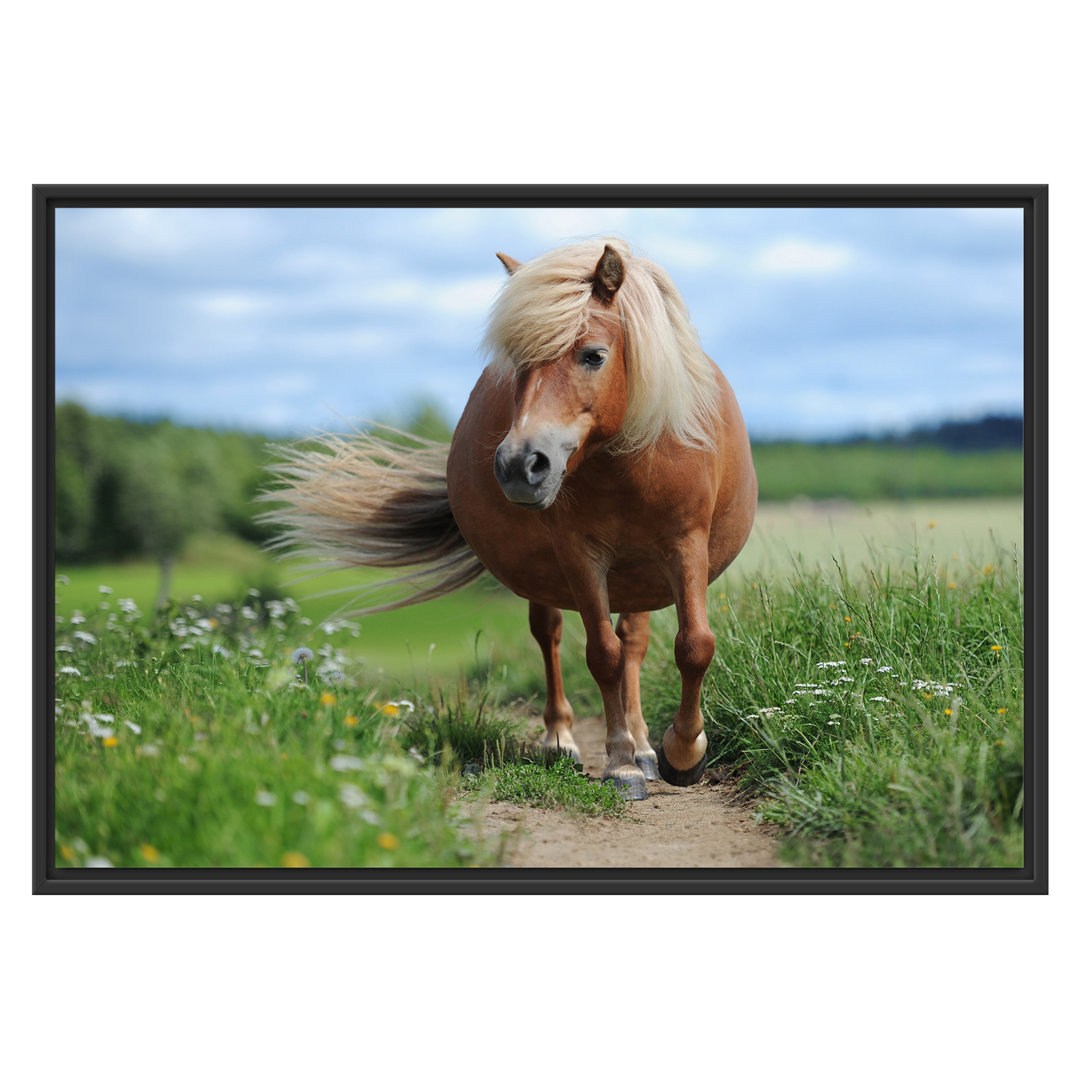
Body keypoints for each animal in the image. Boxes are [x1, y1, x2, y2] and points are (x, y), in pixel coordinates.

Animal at [264, 236, 756, 799]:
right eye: (518, 363)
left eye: (593, 355)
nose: (521, 465)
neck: (629, 461)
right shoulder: (580, 556)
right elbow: (602, 655)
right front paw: (621, 764)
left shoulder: (684, 545)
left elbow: (693, 646)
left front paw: (681, 753)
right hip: (552, 576)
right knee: (552, 636)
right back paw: (564, 742)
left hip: (640, 575)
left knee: (634, 641)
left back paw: (646, 748)